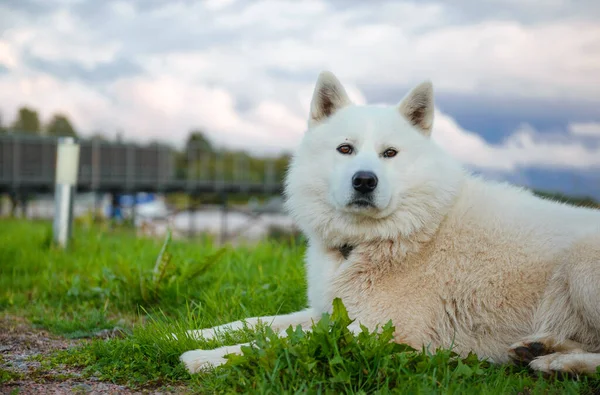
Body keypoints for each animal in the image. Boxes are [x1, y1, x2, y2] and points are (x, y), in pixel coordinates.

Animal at [179, 71, 600, 378]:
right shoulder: (330, 313)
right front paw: (185, 332)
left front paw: (203, 358)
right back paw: (541, 348)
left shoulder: (378, 332)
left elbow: (272, 342)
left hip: (581, 265)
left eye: (390, 153)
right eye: (345, 149)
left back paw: (558, 362)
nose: (365, 180)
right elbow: (259, 322)